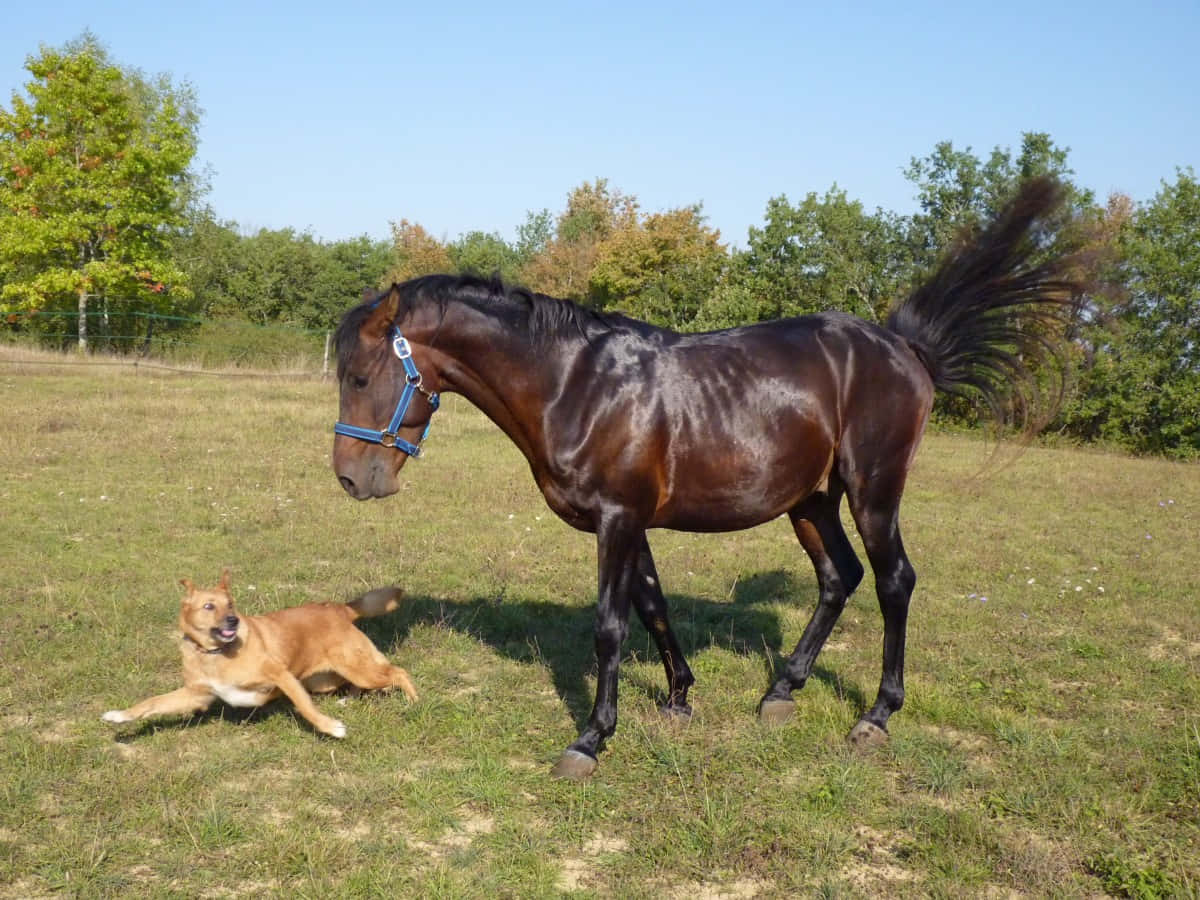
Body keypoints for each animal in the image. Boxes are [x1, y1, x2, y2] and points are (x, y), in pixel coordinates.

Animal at [104, 571, 422, 739]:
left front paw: (330, 728)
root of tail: (339, 609)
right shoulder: (196, 696)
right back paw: (350, 698)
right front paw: (119, 716)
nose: (233, 621)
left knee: (398, 672)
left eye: (231, 604)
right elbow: (152, 703)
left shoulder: (281, 675)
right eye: (209, 606)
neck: (216, 654)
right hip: (326, 679)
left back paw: (414, 701)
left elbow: (305, 708)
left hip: (357, 668)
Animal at [331, 177, 1080, 782]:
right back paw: (782, 692)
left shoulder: (617, 519)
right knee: (838, 578)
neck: (576, 384)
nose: (350, 479)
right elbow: (654, 607)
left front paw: (591, 738)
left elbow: (610, 625)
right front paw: (678, 699)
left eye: (362, 377)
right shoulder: (631, 521)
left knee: (893, 581)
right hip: (811, 501)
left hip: (874, 490)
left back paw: (875, 716)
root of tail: (904, 347)